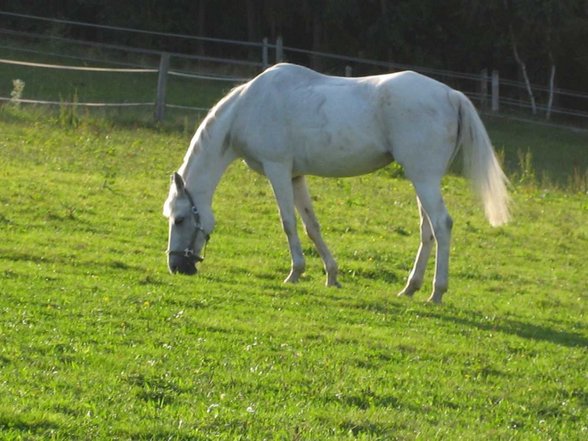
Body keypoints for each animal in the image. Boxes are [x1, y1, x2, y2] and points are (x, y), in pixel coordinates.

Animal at [163, 62, 508, 302]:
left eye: (179, 219)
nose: (177, 267)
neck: (246, 109)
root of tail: (451, 95)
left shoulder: (278, 169)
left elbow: (288, 223)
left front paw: (295, 273)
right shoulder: (295, 175)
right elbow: (311, 225)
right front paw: (331, 275)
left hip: (424, 178)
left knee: (442, 225)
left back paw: (436, 292)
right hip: (421, 179)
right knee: (428, 230)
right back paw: (410, 288)